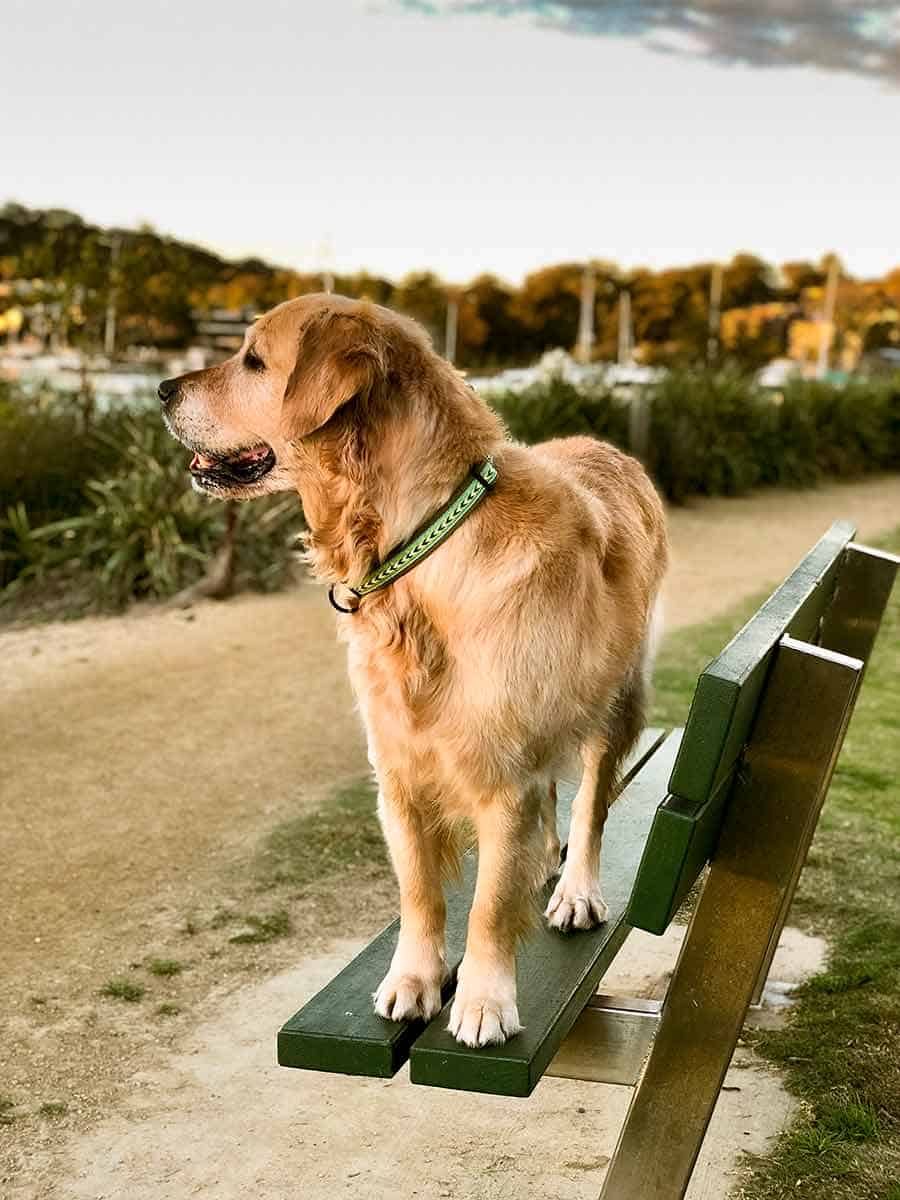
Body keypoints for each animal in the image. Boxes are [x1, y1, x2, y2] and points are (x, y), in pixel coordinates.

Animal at [160, 295, 672, 1046]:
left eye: (252, 360)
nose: (162, 390)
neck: (421, 547)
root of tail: (610, 448)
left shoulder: (502, 770)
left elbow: (489, 905)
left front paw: (484, 1001)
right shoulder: (397, 766)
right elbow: (419, 890)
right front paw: (412, 980)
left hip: (617, 697)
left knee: (591, 805)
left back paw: (576, 887)